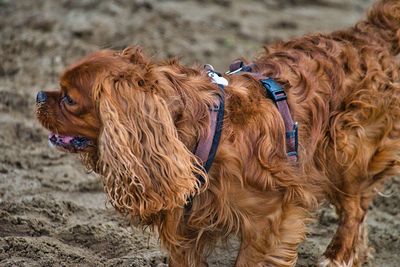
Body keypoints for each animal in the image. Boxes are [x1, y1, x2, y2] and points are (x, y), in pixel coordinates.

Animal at [36, 1, 400, 266]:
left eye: (69, 99)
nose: (38, 95)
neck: (198, 132)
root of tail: (370, 31)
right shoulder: (184, 226)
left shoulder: (270, 221)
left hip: (347, 150)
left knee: (354, 209)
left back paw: (337, 256)